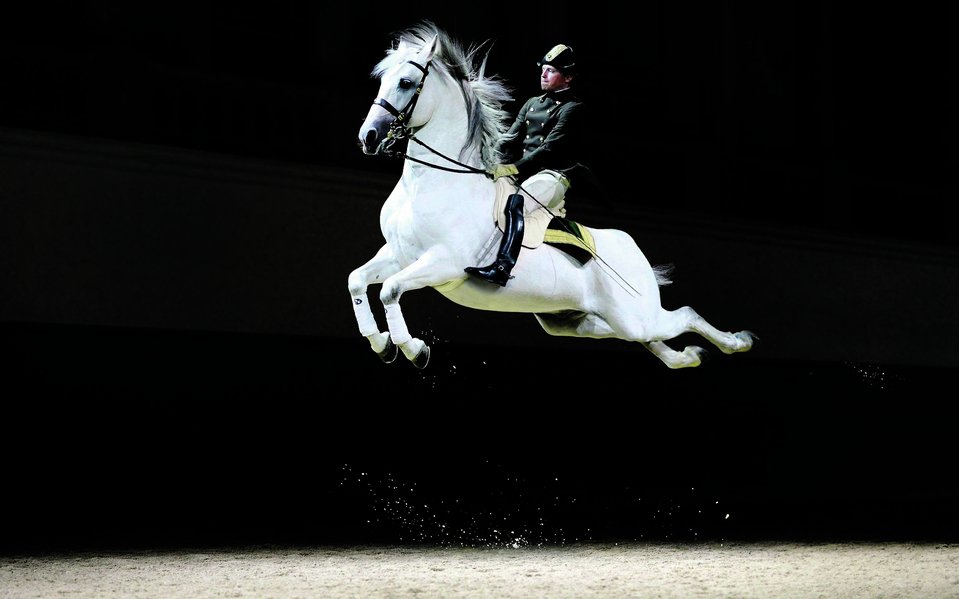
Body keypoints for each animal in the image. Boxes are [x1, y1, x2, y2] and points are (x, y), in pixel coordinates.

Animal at [348, 22, 752, 370]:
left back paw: (738, 341)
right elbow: (358, 280)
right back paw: (690, 355)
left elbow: (389, 291)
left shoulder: (443, 261)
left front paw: (414, 350)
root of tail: (631, 248)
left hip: (635, 316)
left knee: (684, 316)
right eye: (382, 79)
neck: (430, 184)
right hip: (585, 322)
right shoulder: (399, 255)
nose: (368, 136)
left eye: (406, 82)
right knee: (655, 342)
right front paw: (382, 345)